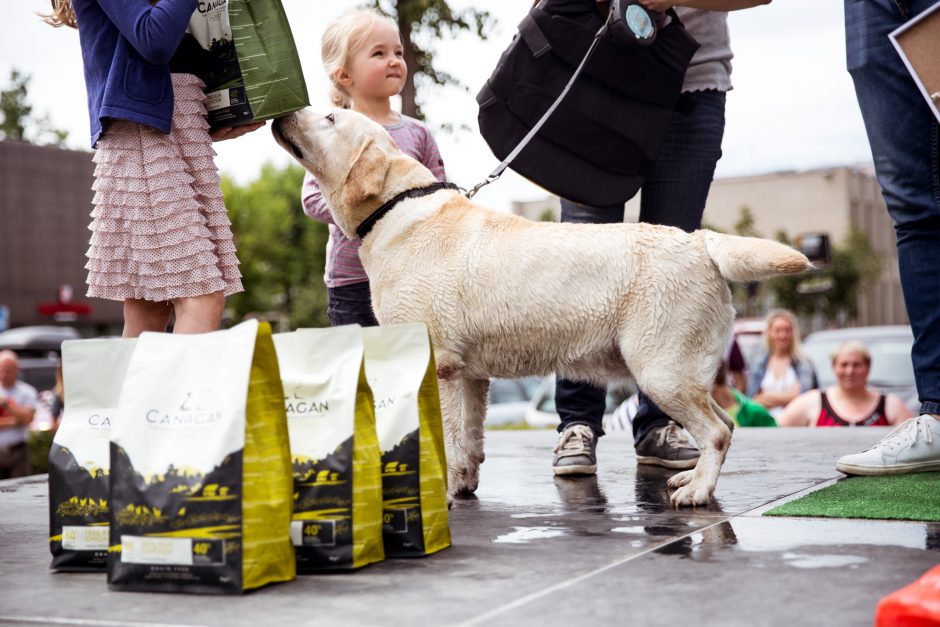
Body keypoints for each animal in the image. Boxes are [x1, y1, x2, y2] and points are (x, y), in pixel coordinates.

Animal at [270, 110, 808, 508]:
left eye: (330, 116)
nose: (282, 112)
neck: (396, 208)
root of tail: (700, 242)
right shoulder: (468, 374)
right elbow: (468, 439)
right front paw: (462, 485)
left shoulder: (438, 365)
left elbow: (444, 438)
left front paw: (439, 492)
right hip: (681, 372)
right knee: (727, 423)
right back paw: (689, 479)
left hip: (661, 369)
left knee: (715, 432)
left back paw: (696, 491)